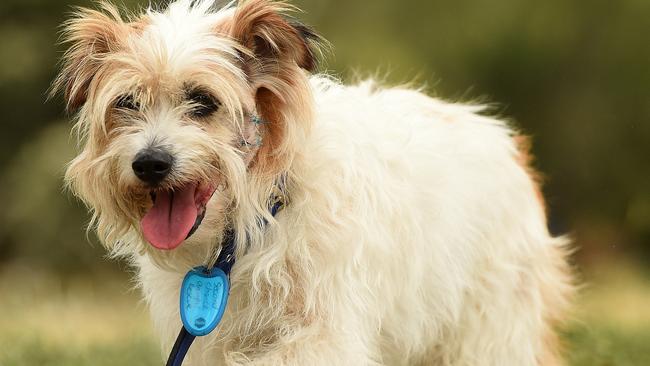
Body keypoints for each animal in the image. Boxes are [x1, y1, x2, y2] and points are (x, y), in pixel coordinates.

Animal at [53, 0, 568, 366]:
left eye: (202, 101)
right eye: (127, 103)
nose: (150, 164)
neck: (250, 226)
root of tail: (502, 141)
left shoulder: (323, 335)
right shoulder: (208, 344)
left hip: (489, 333)